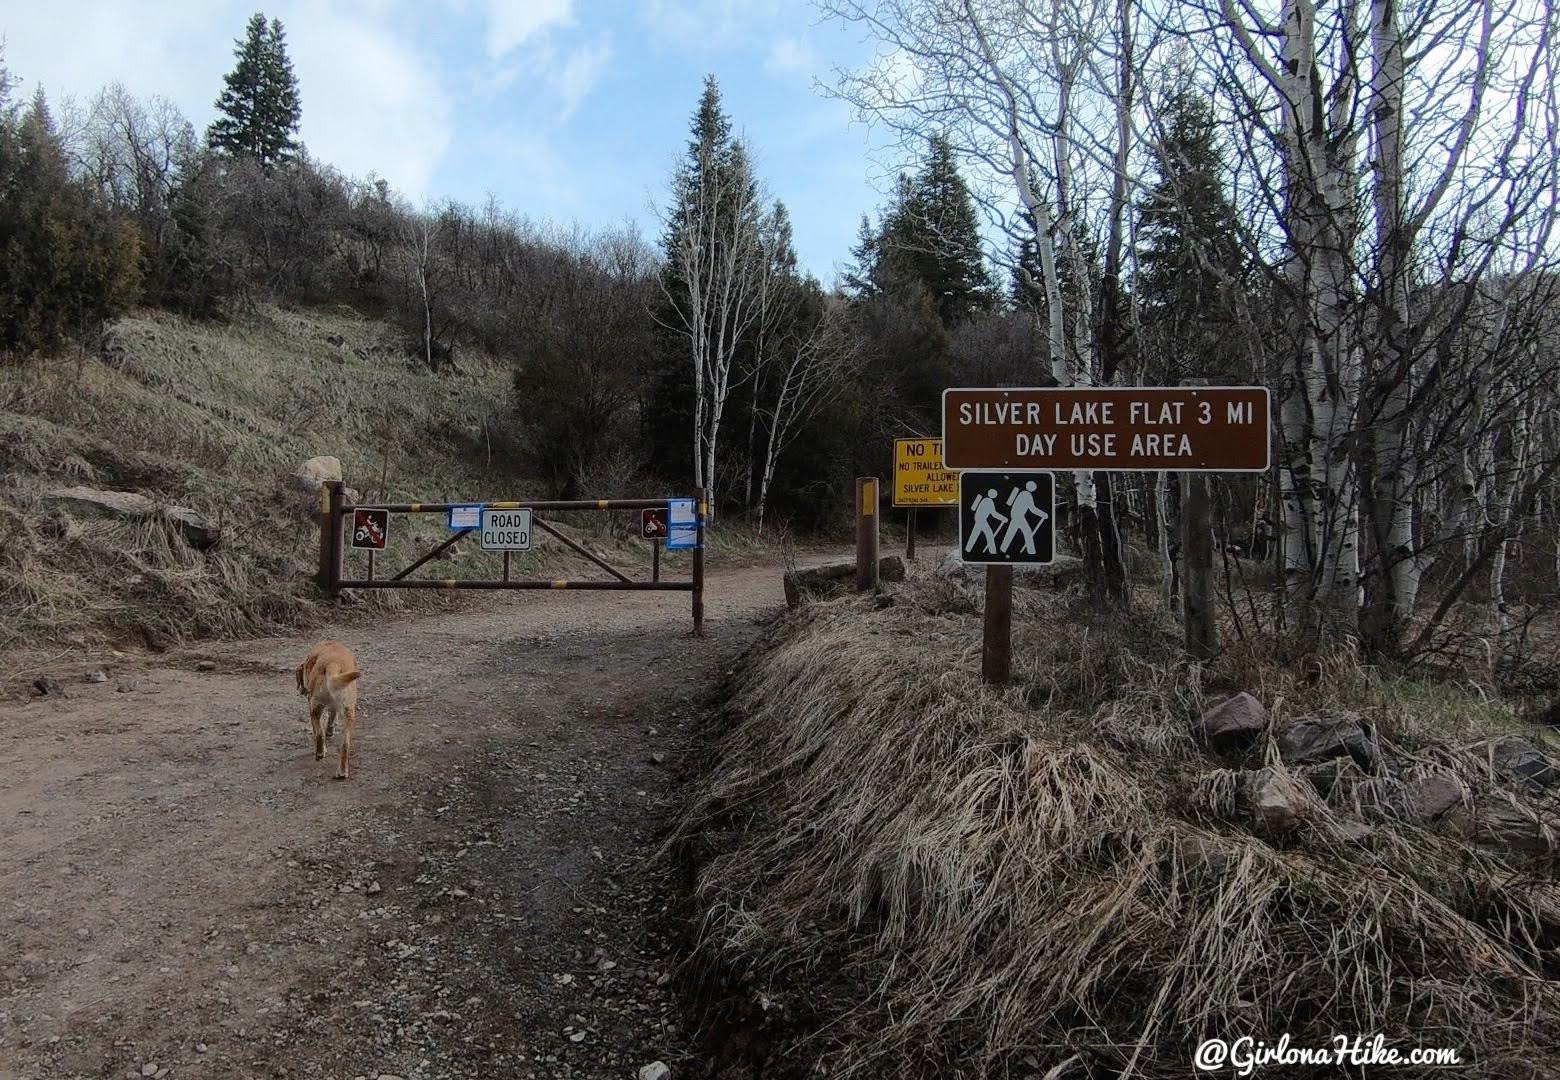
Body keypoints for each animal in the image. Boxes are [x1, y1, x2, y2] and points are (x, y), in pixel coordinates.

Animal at [294, 636, 361, 780]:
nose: (301, 690)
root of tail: (333, 664)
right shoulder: (334, 707)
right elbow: (332, 717)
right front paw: (330, 730)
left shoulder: (311, 704)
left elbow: (317, 730)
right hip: (349, 713)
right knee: (345, 744)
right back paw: (342, 771)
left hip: (315, 708)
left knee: (319, 734)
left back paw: (320, 753)